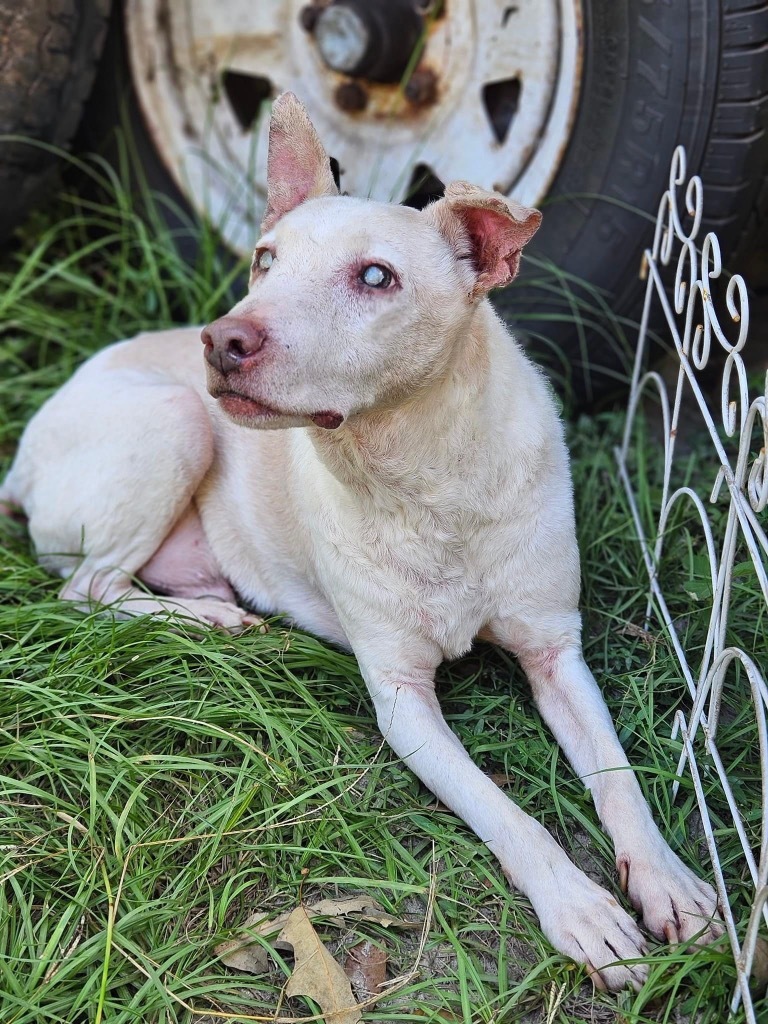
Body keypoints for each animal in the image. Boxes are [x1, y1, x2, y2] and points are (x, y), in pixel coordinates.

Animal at [0, 92, 720, 987]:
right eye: (264, 260)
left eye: (376, 277)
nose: (222, 340)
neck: (427, 480)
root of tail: (23, 455)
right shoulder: (402, 701)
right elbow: (507, 813)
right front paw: (581, 910)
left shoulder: (557, 652)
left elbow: (620, 781)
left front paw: (669, 881)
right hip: (171, 420)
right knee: (85, 590)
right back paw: (208, 620)